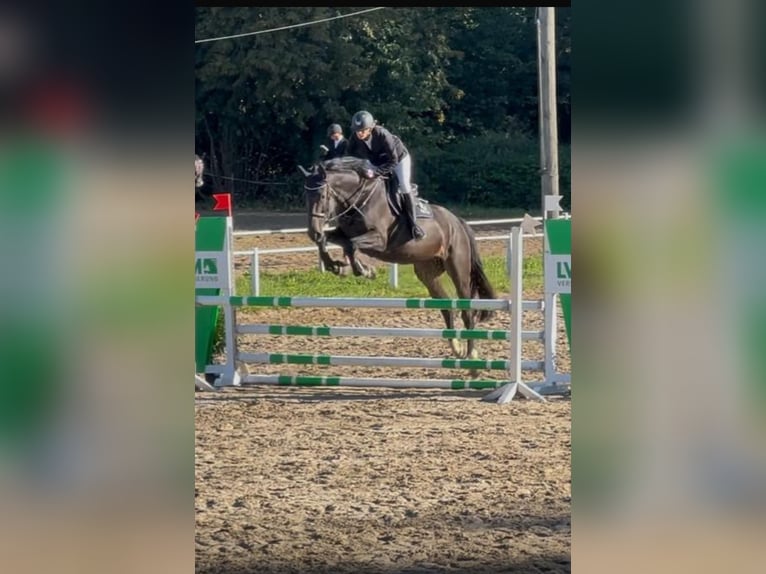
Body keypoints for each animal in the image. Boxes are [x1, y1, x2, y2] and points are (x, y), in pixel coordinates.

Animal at [300, 156, 498, 359]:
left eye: (322, 196)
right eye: (305, 196)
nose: (312, 231)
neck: (360, 199)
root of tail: (457, 222)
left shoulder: (380, 240)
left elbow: (351, 245)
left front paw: (364, 270)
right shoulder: (342, 233)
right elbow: (328, 241)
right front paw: (336, 266)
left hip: (458, 269)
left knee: (467, 310)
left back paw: (471, 352)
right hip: (427, 272)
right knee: (446, 306)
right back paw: (457, 348)